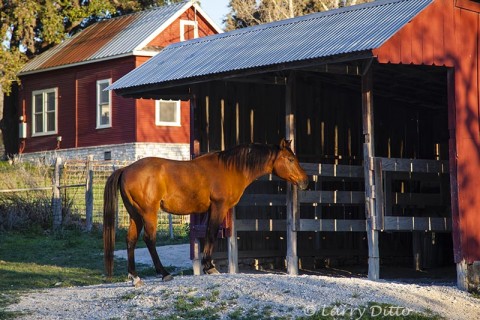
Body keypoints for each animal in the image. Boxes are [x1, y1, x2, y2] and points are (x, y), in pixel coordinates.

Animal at [103, 139, 310, 286]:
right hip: (148, 214)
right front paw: (209, 267)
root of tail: (126, 169)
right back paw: (164, 274)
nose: (305, 181)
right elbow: (211, 233)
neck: (230, 168)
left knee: (130, 240)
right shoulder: (219, 207)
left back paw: (135, 277)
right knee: (149, 239)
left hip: (135, 215)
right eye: (291, 159)